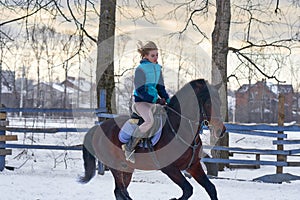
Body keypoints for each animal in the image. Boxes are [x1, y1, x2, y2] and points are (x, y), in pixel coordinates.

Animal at [78, 79, 226, 200]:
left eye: (220, 102)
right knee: (121, 192)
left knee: (120, 192)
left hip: (127, 168)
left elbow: (211, 188)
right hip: (116, 167)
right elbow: (188, 190)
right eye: (209, 103)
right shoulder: (170, 169)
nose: (222, 130)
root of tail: (98, 128)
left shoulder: (194, 166)